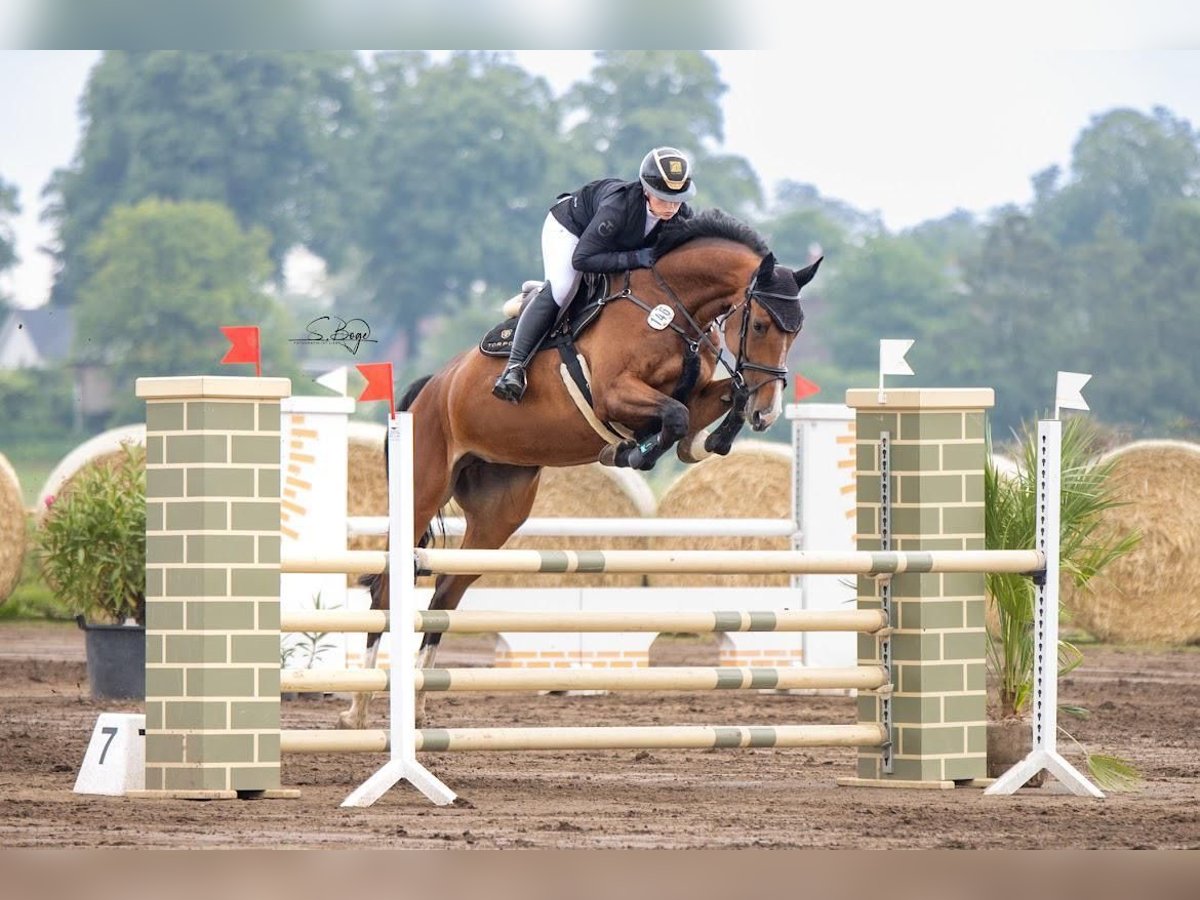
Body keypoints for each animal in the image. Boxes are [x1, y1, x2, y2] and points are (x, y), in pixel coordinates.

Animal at [343, 211, 820, 734]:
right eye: (760, 324)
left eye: (797, 332)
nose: (767, 414)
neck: (671, 306)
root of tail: (430, 388)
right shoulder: (614, 393)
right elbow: (673, 416)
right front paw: (633, 452)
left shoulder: (694, 392)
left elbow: (712, 401)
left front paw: (708, 440)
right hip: (422, 489)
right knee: (386, 589)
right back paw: (358, 706)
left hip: (498, 513)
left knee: (445, 595)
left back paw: (422, 704)